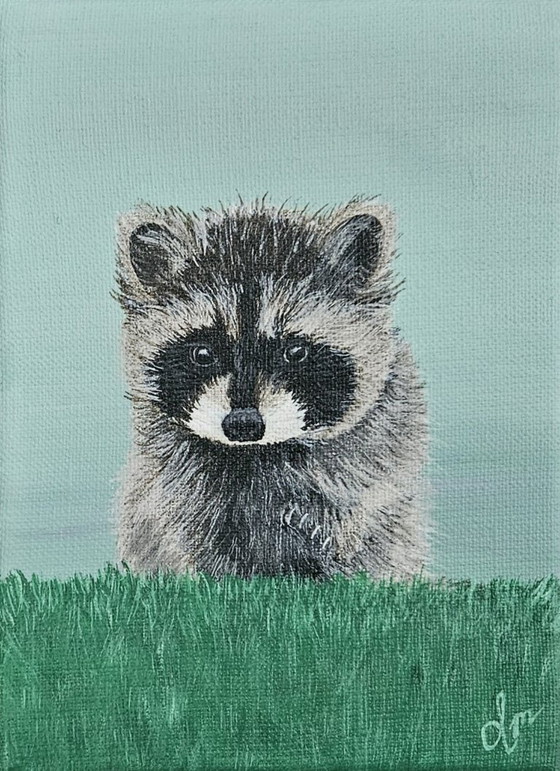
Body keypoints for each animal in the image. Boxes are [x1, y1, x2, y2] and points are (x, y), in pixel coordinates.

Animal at [112, 197, 431, 580]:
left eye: (294, 352)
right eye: (202, 354)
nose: (243, 424)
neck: (257, 453)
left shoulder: (371, 467)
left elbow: (359, 534)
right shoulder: (180, 491)